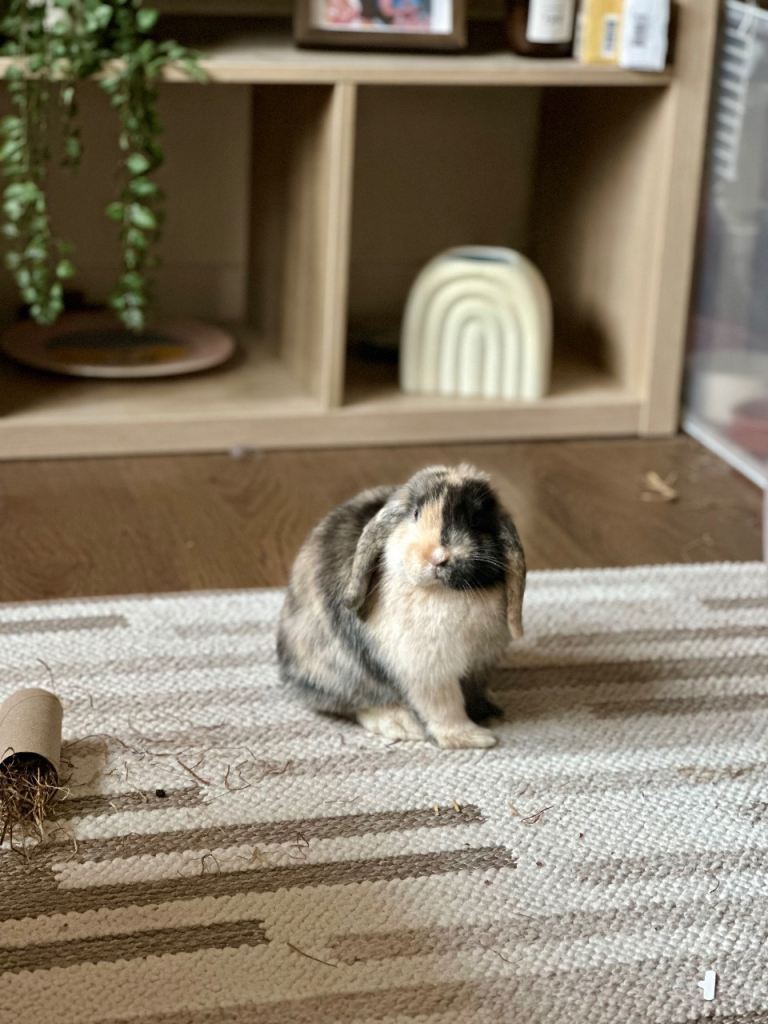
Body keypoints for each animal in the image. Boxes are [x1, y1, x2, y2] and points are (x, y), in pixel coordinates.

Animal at [277, 464, 526, 749]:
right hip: (344, 676)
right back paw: (400, 724)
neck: (443, 592)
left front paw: (488, 711)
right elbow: (445, 706)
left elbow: (474, 690)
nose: (437, 557)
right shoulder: (427, 670)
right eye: (415, 514)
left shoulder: (480, 663)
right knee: (355, 704)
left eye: (476, 520)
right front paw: (473, 738)